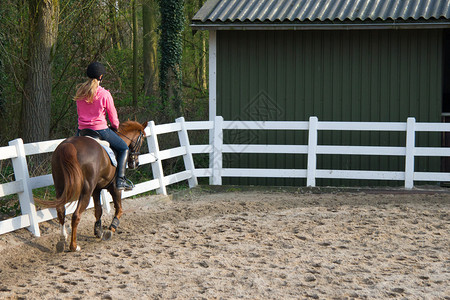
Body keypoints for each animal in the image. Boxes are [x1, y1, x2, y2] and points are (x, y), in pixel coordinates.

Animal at [43, 120, 147, 252]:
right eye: (142, 139)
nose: (136, 163)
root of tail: (69, 145)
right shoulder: (114, 188)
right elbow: (119, 209)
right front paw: (110, 229)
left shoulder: (96, 190)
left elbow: (98, 210)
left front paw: (98, 231)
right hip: (86, 192)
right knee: (76, 215)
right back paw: (74, 246)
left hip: (61, 187)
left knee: (61, 211)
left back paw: (62, 241)